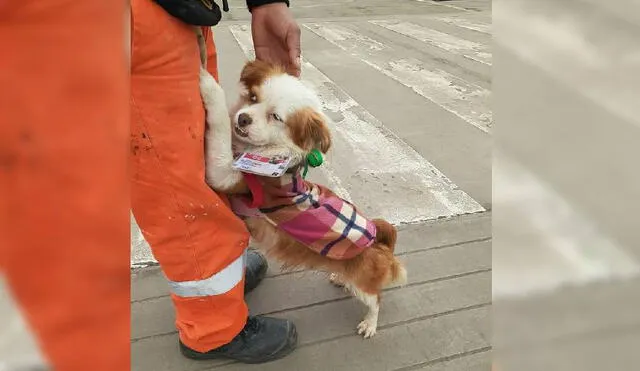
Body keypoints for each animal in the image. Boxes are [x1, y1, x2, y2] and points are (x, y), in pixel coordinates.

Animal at [200, 61, 408, 340]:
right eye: (253, 97)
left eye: (276, 117)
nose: (243, 118)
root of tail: (378, 238)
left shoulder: (225, 175)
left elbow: (220, 126)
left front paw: (207, 83)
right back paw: (339, 277)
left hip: (363, 284)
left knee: (376, 299)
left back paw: (370, 324)